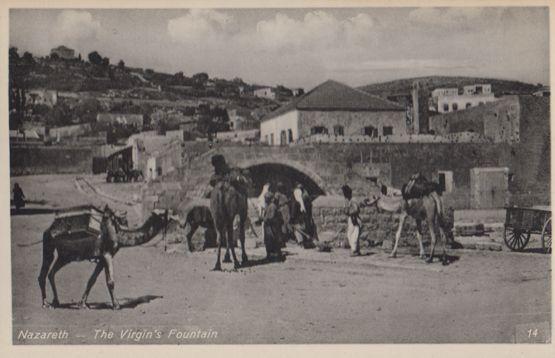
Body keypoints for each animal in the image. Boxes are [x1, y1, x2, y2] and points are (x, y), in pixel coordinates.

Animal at [38, 206, 168, 310]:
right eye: (164, 214)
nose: (170, 215)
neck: (118, 235)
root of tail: (48, 230)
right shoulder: (107, 254)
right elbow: (110, 281)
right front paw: (116, 305)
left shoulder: (101, 258)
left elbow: (92, 280)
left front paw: (83, 304)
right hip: (49, 247)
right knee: (43, 275)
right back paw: (45, 303)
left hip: (64, 256)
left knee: (51, 273)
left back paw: (56, 302)